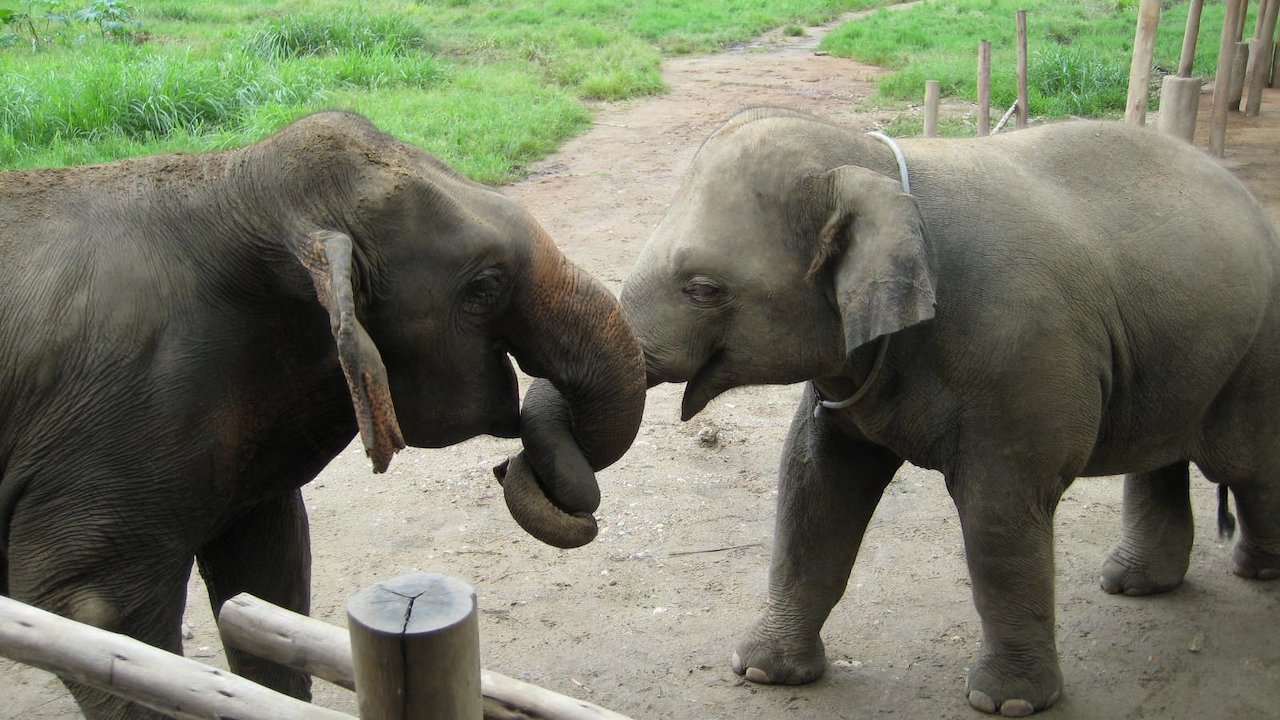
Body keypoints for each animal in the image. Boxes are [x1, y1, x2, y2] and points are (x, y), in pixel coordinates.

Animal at [0, 111, 645, 719]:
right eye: (484, 287)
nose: (507, 465)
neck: (233, 184)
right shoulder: (114, 428)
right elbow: (97, 614)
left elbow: (269, 572)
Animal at [620, 107, 1280, 716]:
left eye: (704, 289)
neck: (881, 170)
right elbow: (813, 485)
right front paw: (762, 672)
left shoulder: (1021, 360)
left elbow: (999, 513)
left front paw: (1007, 703)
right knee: (1167, 454)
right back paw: (1134, 585)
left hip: (1257, 353)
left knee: (1250, 467)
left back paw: (1257, 572)